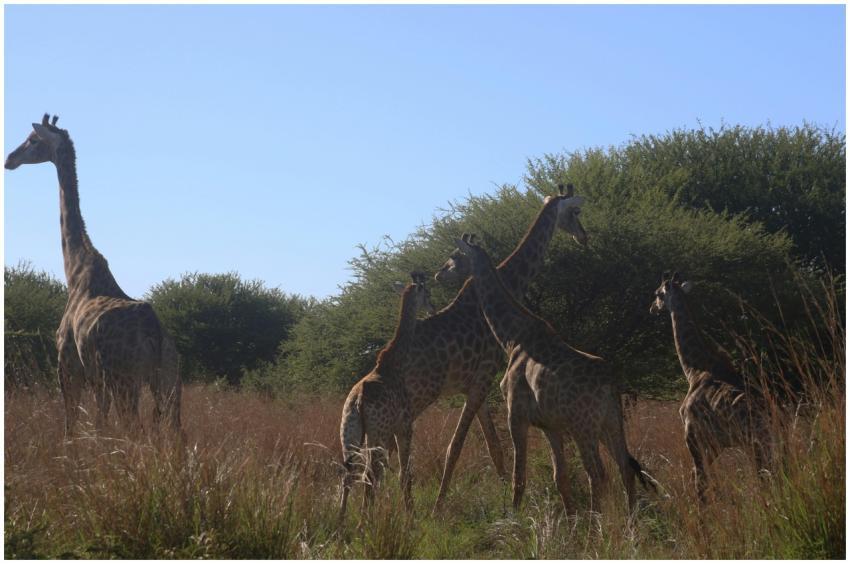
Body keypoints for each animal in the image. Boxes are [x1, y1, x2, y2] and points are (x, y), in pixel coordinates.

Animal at [5, 114, 181, 435]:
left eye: (32, 140)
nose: (9, 159)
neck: (74, 271)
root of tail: (153, 331)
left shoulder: (68, 365)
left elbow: (71, 424)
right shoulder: (97, 378)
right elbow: (100, 423)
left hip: (125, 379)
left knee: (134, 428)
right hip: (169, 379)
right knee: (176, 433)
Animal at [338, 271, 436, 520]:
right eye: (427, 293)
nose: (433, 308)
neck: (395, 364)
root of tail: (358, 401)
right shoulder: (405, 426)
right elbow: (405, 473)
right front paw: (411, 517)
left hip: (350, 432)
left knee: (349, 474)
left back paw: (341, 523)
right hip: (377, 432)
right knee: (368, 474)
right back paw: (364, 522)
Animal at [421, 184, 587, 508]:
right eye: (574, 212)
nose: (583, 236)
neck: (510, 280)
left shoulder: (476, 384)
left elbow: (494, 447)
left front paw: (500, 494)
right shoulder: (484, 376)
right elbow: (457, 445)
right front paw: (438, 507)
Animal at [453, 233, 654, 513]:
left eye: (455, 256)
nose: (440, 274)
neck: (512, 337)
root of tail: (609, 384)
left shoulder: (516, 414)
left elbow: (519, 475)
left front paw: (513, 517)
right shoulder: (550, 424)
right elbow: (560, 476)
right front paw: (570, 519)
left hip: (583, 425)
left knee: (598, 473)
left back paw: (598, 520)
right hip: (610, 421)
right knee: (625, 466)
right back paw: (630, 519)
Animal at [650, 271, 773, 502]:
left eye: (658, 293)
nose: (652, 307)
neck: (694, 370)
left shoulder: (691, 433)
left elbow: (699, 479)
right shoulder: (716, 443)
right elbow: (704, 477)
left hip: (756, 443)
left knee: (765, 475)